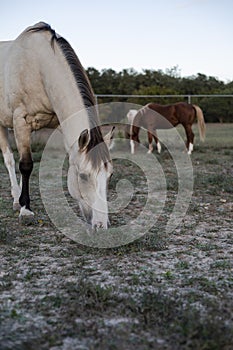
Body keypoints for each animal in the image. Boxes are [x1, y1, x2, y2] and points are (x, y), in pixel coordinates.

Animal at [0, 21, 114, 230]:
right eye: (83, 176)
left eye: (110, 175)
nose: (101, 225)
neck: (38, 68)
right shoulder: (20, 122)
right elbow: (25, 165)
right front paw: (25, 209)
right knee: (9, 159)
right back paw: (16, 198)